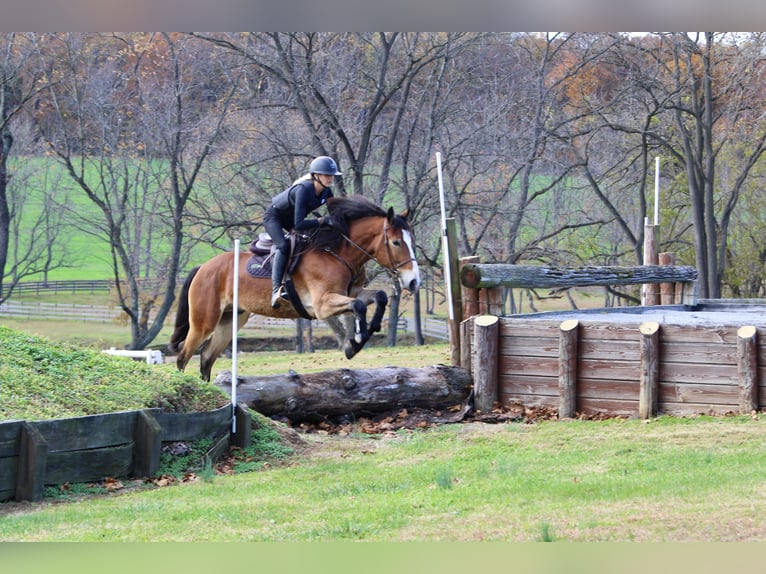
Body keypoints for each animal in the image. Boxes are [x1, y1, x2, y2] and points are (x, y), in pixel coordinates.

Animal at [168, 195, 421, 381]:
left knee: (206, 357)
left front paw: (366, 333)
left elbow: (379, 297)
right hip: (205, 321)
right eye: (396, 242)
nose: (414, 282)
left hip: (230, 320)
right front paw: (355, 342)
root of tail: (203, 267)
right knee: (183, 355)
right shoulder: (322, 305)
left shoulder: (350, 293)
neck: (337, 252)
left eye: (413, 241)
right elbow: (358, 306)